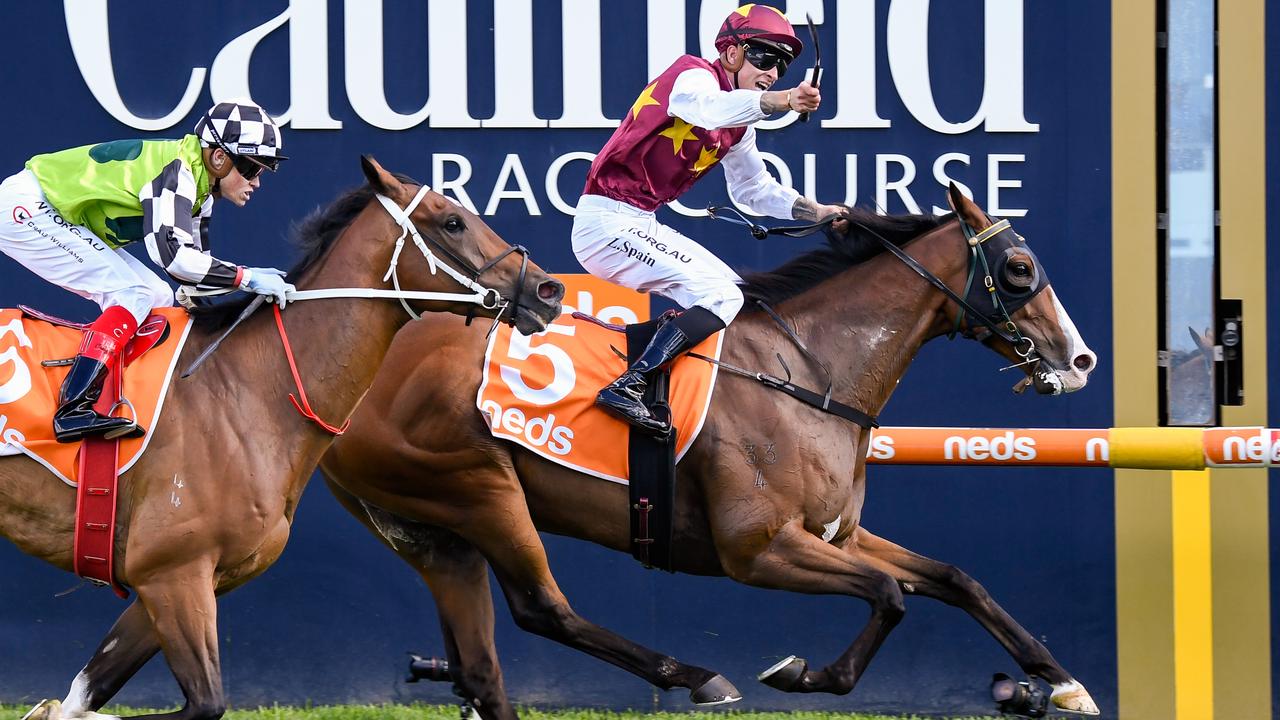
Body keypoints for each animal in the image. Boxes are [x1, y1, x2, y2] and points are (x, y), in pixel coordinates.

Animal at [7, 155, 563, 717]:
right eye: (452, 221)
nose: (548, 290)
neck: (246, 390)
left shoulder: (179, 583)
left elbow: (82, 697)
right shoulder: (173, 574)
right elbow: (204, 703)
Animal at [317, 185, 1100, 717]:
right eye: (1020, 267)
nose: (1081, 359)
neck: (808, 372)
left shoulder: (835, 533)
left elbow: (954, 579)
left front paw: (1065, 684)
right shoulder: (757, 549)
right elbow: (889, 595)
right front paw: (802, 674)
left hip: (432, 531)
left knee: (481, 660)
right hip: (478, 488)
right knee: (544, 610)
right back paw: (697, 677)